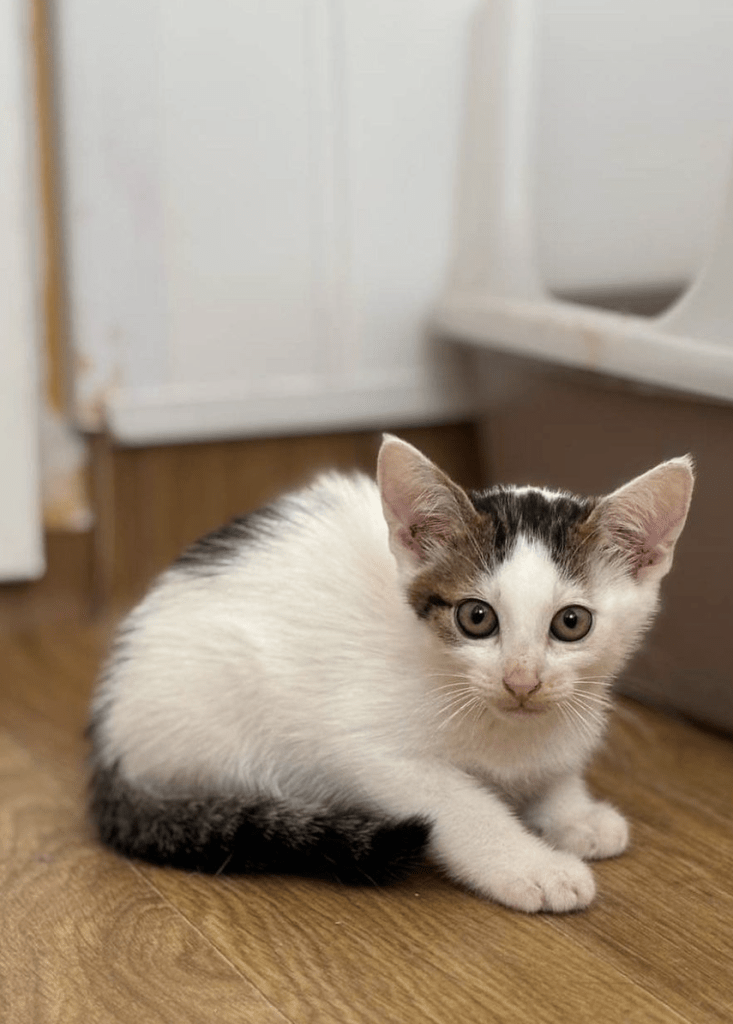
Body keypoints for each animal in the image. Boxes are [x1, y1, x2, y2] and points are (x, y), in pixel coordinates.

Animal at [87, 436, 692, 917]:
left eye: (571, 623)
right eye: (476, 617)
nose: (521, 681)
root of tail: (106, 736)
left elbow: (556, 769)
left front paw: (575, 814)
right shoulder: (369, 748)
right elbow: (463, 806)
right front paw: (532, 866)